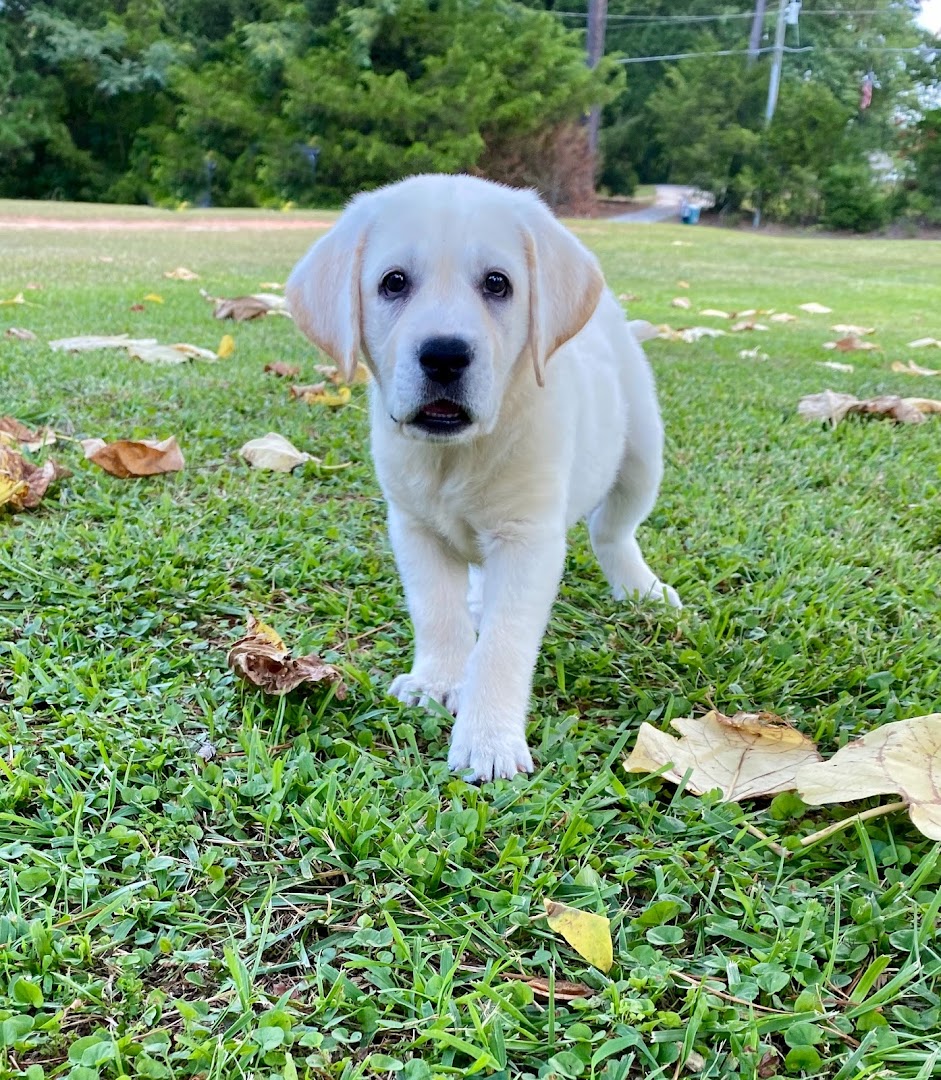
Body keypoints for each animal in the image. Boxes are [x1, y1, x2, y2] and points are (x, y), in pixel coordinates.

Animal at [283, 177, 682, 786]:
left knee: (614, 530)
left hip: (641, 451)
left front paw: (488, 738)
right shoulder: (415, 528)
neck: (456, 456)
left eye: (497, 283)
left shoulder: (527, 538)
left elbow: (504, 642)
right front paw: (437, 682)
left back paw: (642, 588)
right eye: (393, 282)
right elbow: (436, 612)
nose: (445, 355)